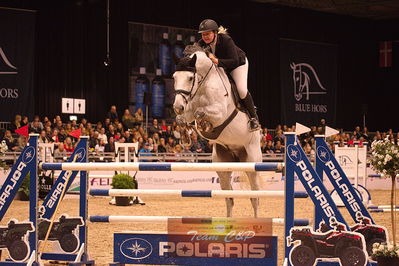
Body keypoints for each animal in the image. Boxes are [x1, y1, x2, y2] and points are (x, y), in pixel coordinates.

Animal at [174, 47, 262, 218]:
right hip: (223, 166)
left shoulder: (220, 112)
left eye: (190, 78)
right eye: (174, 77)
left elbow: (201, 113)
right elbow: (183, 118)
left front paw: (205, 125)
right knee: (229, 198)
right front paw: (186, 135)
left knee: (255, 197)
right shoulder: (189, 110)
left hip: (252, 161)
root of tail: (237, 154)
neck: (202, 85)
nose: (177, 106)